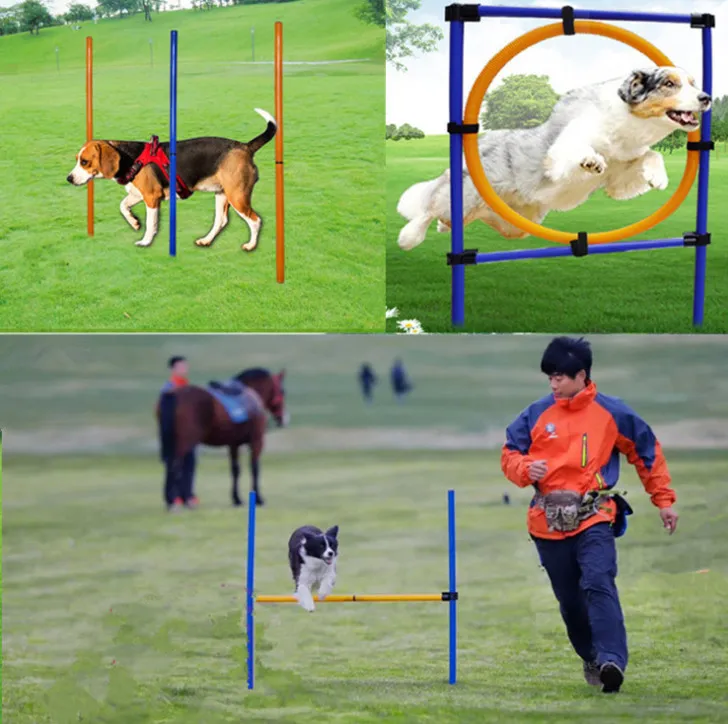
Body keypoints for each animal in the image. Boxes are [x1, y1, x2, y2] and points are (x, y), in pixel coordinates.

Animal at [67, 108, 276, 252]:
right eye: (77, 159)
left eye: (84, 162)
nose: (69, 178)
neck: (130, 157)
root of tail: (245, 147)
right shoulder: (138, 194)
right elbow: (123, 206)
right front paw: (134, 222)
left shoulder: (151, 198)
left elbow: (151, 223)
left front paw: (145, 241)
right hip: (222, 194)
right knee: (221, 221)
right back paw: (206, 240)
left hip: (237, 196)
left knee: (255, 220)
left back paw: (250, 245)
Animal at [157, 368, 288, 510]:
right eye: (282, 391)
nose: (285, 419)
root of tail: (174, 394)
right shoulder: (256, 441)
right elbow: (255, 469)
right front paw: (259, 498)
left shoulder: (234, 445)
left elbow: (235, 470)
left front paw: (237, 499)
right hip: (183, 443)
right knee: (175, 466)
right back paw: (175, 501)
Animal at [398, 68, 712, 249]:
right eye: (669, 83)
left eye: (693, 83)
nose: (706, 97)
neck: (626, 126)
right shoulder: (562, 149)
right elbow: (574, 150)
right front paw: (591, 161)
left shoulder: (620, 173)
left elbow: (650, 156)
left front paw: (658, 177)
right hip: (461, 199)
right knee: (428, 207)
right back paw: (409, 237)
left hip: (512, 226)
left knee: (450, 218)